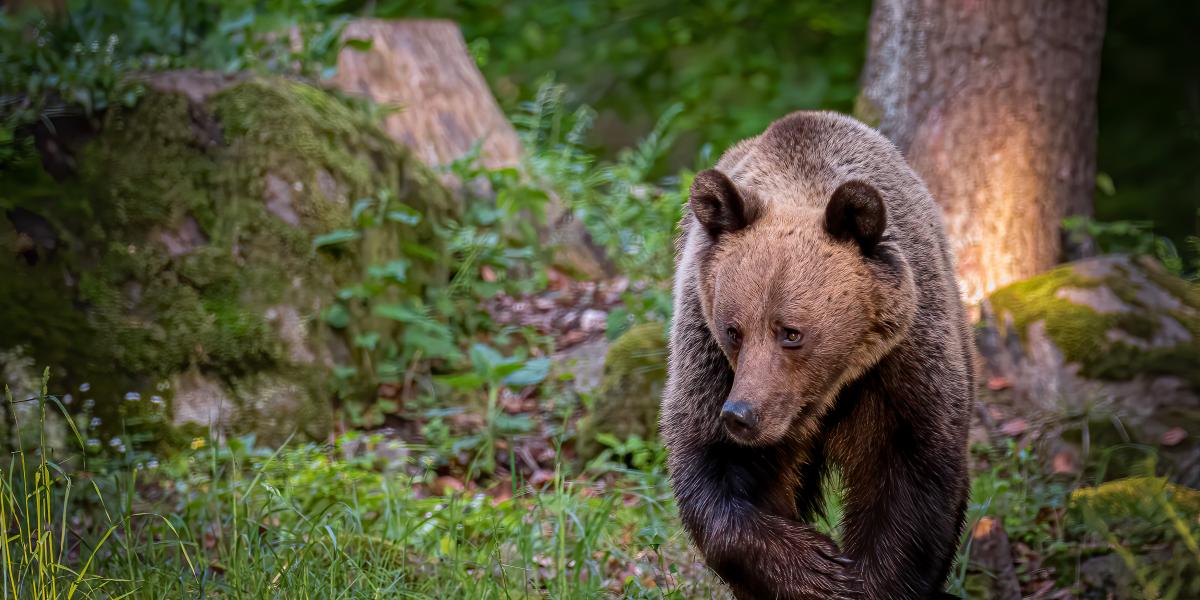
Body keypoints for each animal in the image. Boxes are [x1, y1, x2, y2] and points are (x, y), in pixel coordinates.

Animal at [662, 109, 979, 600]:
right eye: (734, 331)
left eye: (791, 332)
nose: (741, 414)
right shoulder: (706, 353)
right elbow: (710, 470)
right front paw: (817, 568)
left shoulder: (903, 363)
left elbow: (913, 478)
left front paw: (866, 580)